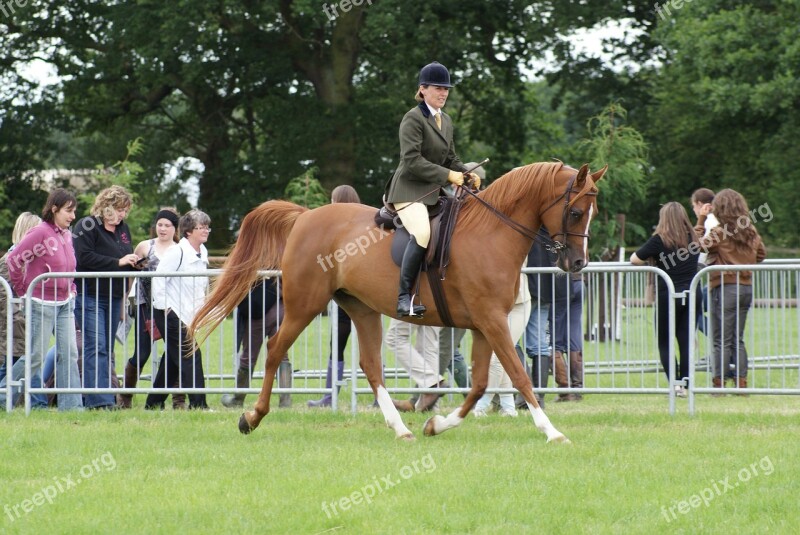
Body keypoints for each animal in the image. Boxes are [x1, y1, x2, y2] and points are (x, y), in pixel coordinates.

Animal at [192, 162, 608, 444]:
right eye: (575, 211)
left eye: (593, 212)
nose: (577, 264)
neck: (492, 232)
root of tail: (305, 217)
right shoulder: (492, 321)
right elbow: (519, 376)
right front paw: (552, 432)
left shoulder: (485, 325)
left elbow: (479, 384)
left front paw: (436, 424)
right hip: (305, 305)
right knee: (277, 349)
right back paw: (252, 417)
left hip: (360, 308)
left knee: (371, 365)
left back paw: (400, 428)